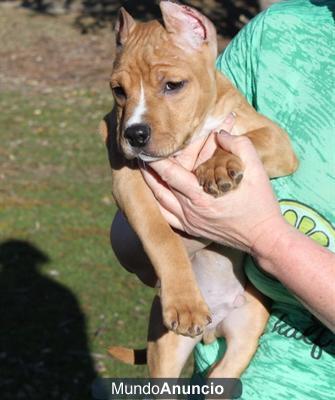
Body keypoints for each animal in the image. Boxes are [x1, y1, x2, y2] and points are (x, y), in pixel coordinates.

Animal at [102, 0, 300, 378]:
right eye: (118, 91)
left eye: (173, 85)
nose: (133, 134)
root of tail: (213, 329)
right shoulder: (127, 180)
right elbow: (160, 236)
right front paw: (184, 302)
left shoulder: (276, 140)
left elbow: (242, 140)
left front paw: (217, 164)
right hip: (165, 352)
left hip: (246, 332)